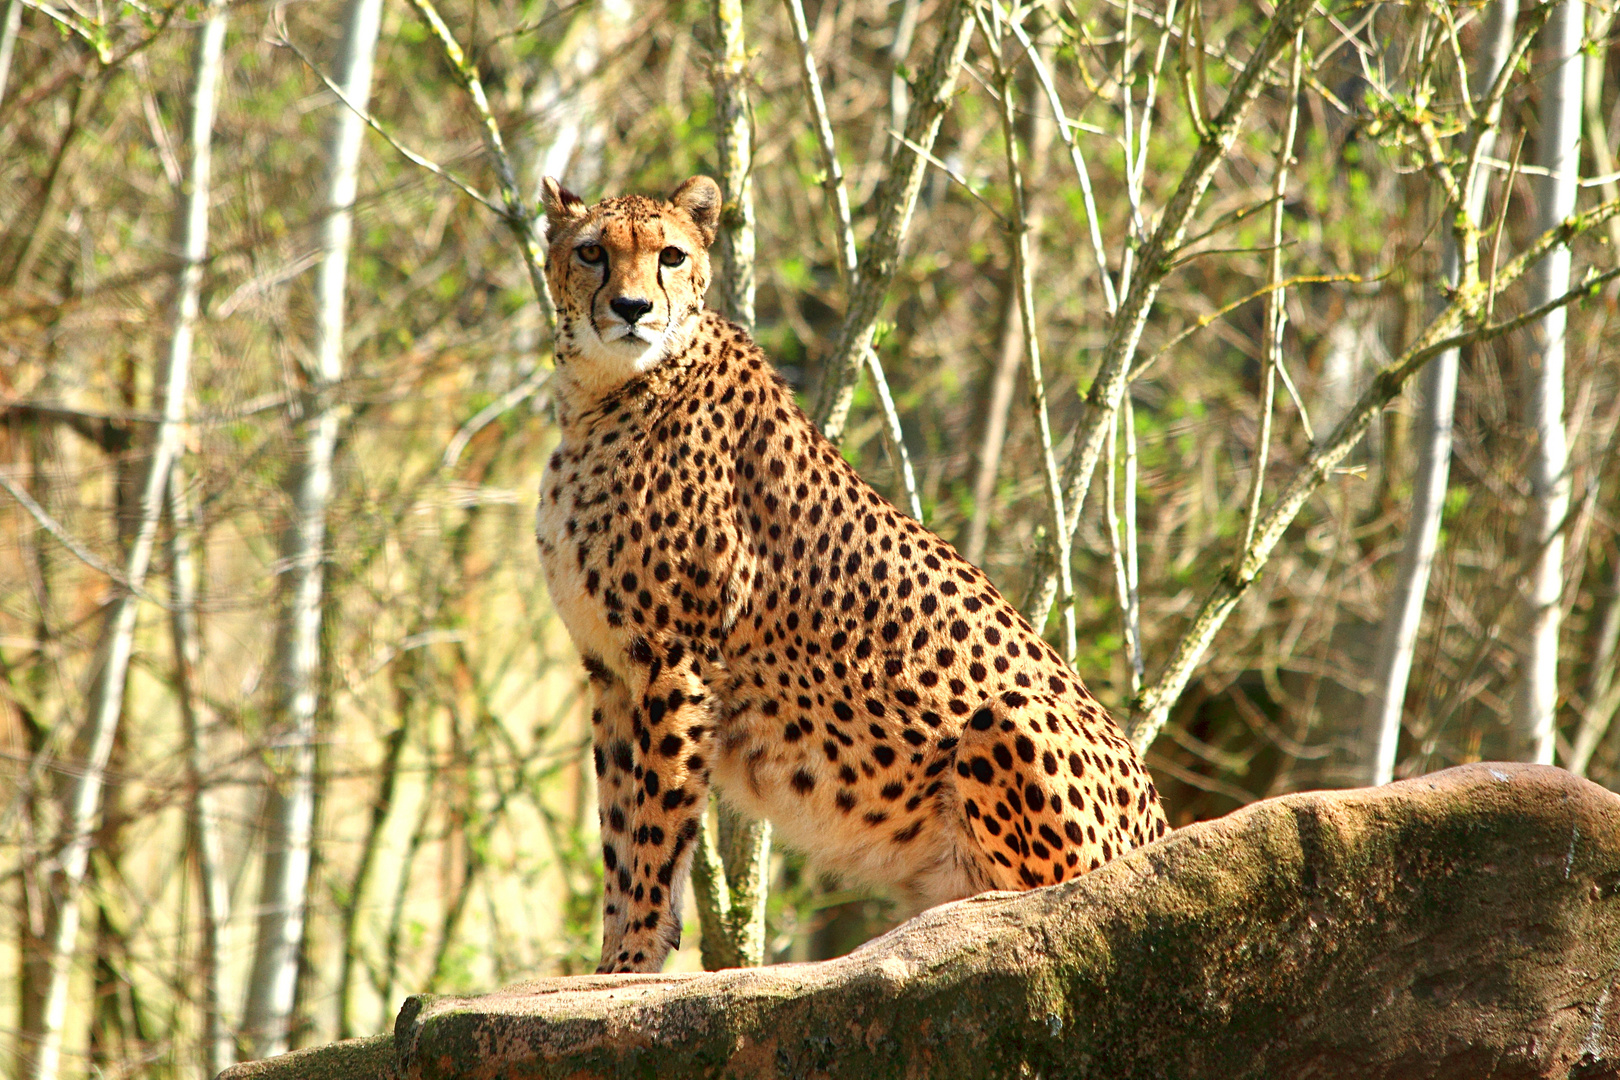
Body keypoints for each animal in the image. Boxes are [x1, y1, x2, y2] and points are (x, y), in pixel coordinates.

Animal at [537, 179, 1172, 977]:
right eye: (592, 252)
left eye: (671, 255)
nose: (631, 308)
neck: (606, 392)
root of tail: (1162, 826)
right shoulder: (612, 671)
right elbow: (620, 830)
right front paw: (609, 967)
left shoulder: (673, 663)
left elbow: (654, 825)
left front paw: (631, 966)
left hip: (1013, 716)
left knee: (1065, 913)